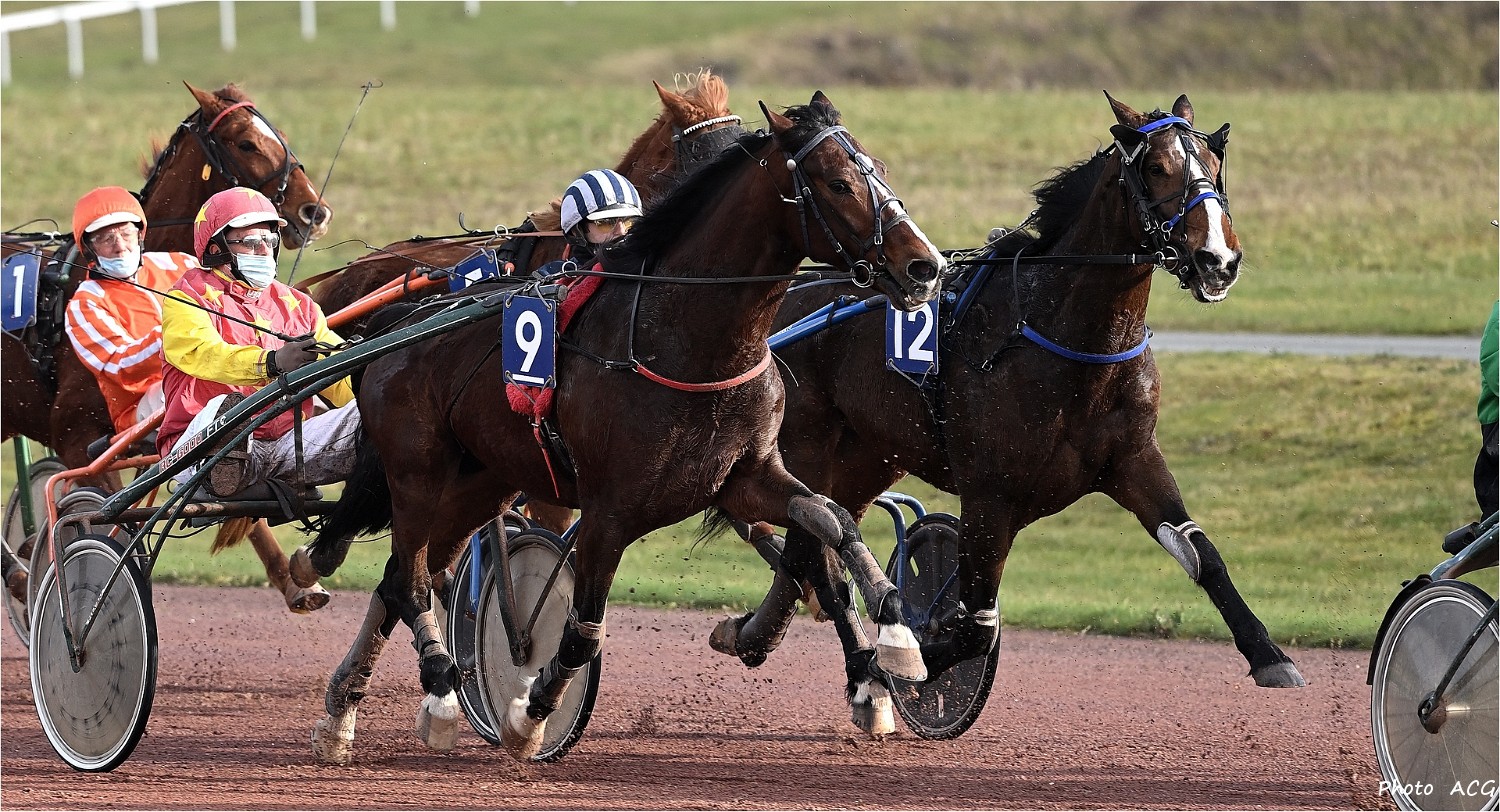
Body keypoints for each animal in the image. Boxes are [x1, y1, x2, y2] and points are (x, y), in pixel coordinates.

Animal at [1, 82, 334, 613]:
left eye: (279, 134)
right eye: (246, 143)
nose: (313, 211)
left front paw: (292, 577)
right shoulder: (76, 437)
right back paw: (18, 573)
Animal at [301, 91, 946, 764]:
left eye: (882, 170)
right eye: (839, 182)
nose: (924, 266)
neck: (688, 342)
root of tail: (399, 322)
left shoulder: (745, 477)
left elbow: (832, 518)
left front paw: (896, 633)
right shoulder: (608, 510)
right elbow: (583, 632)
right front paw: (530, 713)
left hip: (481, 483)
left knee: (405, 576)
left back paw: (348, 710)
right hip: (417, 473)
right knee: (409, 579)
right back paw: (440, 687)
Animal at [711, 93, 1306, 737]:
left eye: (1214, 167)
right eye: (1156, 168)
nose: (1217, 259)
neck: (1064, 337)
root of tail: (780, 302)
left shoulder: (1133, 459)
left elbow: (1200, 552)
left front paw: (1270, 655)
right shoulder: (991, 494)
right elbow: (974, 627)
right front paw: (898, 660)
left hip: (870, 457)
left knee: (810, 545)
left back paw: (756, 635)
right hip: (810, 446)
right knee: (817, 548)